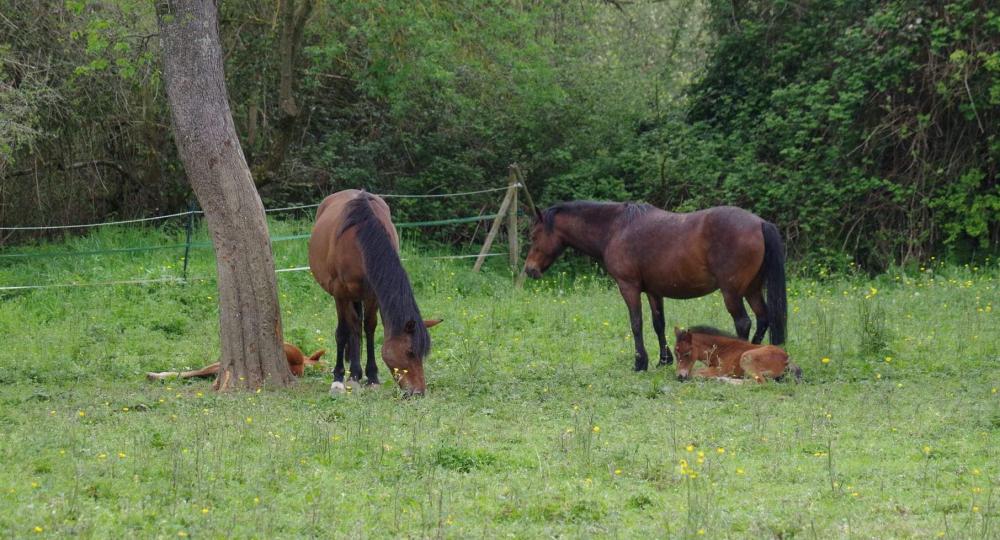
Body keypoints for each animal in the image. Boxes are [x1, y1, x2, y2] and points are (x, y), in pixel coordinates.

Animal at [308, 191, 442, 396]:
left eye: (422, 354)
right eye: (410, 352)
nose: (418, 392)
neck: (360, 239)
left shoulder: (372, 294)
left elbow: (369, 327)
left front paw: (372, 377)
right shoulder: (340, 293)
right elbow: (343, 332)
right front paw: (340, 378)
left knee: (358, 325)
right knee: (351, 326)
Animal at [524, 201, 788, 372]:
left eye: (534, 235)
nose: (529, 269)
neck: (616, 228)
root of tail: (760, 223)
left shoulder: (628, 287)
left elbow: (636, 323)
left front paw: (640, 362)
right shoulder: (653, 290)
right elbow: (658, 324)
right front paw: (663, 360)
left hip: (732, 292)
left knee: (743, 322)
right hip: (751, 289)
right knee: (763, 318)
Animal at [672, 324, 804, 384]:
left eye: (687, 353)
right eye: (675, 353)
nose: (679, 376)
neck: (721, 350)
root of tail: (786, 359)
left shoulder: (721, 369)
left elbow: (695, 373)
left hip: (747, 358)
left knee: (759, 382)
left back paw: (724, 379)